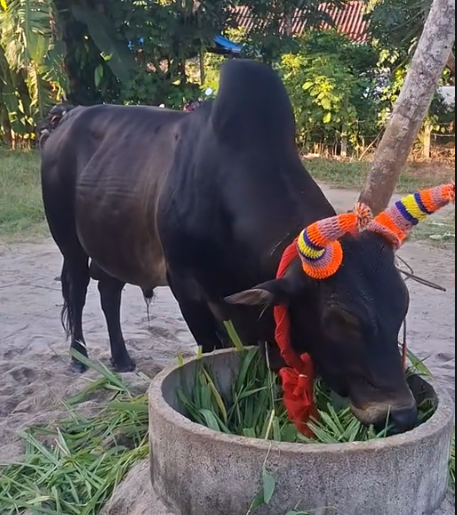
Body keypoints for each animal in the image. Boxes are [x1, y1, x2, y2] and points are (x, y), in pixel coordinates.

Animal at [41, 59, 453, 433]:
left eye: (402, 306)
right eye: (340, 319)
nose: (400, 414)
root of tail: (68, 116)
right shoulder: (187, 291)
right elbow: (209, 350)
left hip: (113, 245)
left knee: (109, 292)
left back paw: (122, 359)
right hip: (69, 241)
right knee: (77, 288)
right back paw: (78, 357)